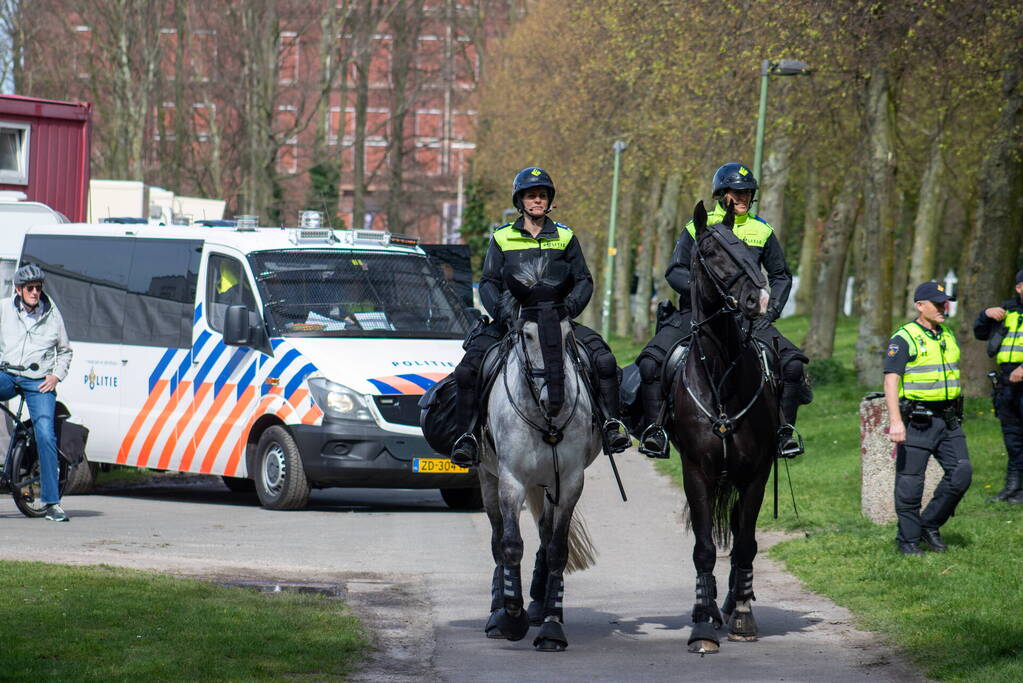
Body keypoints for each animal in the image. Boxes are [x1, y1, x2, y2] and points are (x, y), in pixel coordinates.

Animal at [476, 259, 597, 650]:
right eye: (527, 334)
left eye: (566, 332)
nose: (554, 397)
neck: (547, 419)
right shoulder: (510, 480)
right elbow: (511, 544)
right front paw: (510, 617)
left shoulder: (570, 482)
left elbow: (556, 548)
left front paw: (551, 625)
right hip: (488, 478)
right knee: (498, 539)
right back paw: (498, 611)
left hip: (548, 484)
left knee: (544, 536)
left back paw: (537, 602)